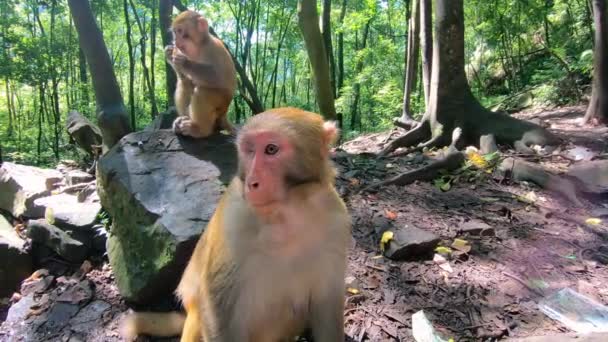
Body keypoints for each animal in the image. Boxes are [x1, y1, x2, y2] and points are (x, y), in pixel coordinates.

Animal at [122, 107, 352, 342]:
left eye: (271, 149)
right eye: (249, 150)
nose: (252, 183)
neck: (284, 216)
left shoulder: (335, 221)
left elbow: (327, 306)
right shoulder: (234, 222)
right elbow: (219, 311)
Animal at [166, 10, 238, 139]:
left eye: (180, 31)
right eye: (175, 32)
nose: (175, 41)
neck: (198, 47)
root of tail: (224, 115)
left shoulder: (213, 49)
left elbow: (216, 76)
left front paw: (184, 62)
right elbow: (185, 78)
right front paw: (169, 54)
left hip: (221, 105)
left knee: (203, 91)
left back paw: (199, 129)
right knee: (184, 83)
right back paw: (183, 120)